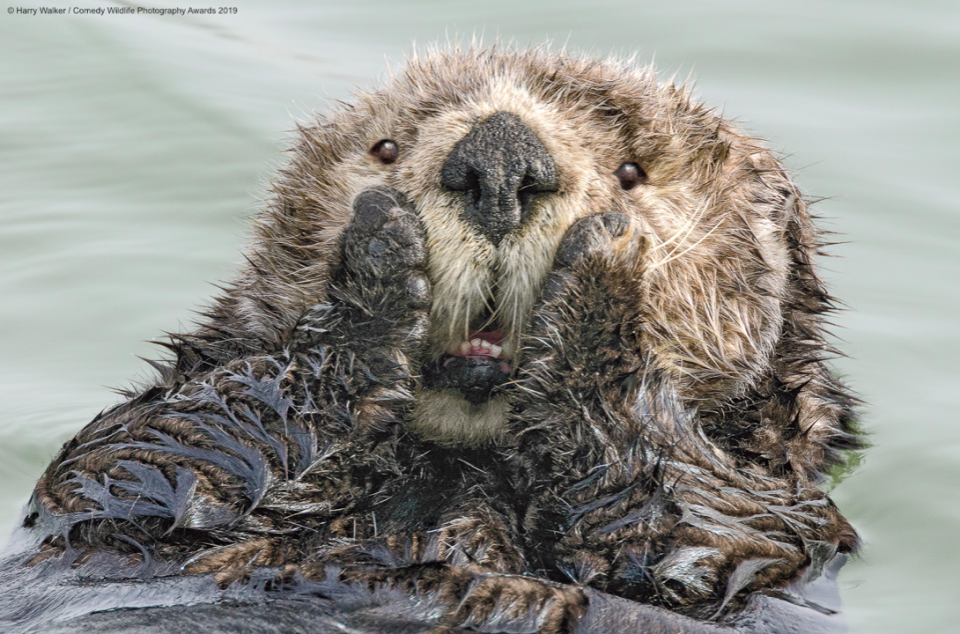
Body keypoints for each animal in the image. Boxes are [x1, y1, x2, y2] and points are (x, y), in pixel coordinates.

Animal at [0, 47, 860, 628]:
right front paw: (378, 263)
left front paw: (603, 274)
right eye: (386, 149)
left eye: (632, 172)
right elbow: (140, 458)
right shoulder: (110, 489)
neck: (459, 466)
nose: (501, 158)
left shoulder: (779, 524)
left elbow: (691, 526)